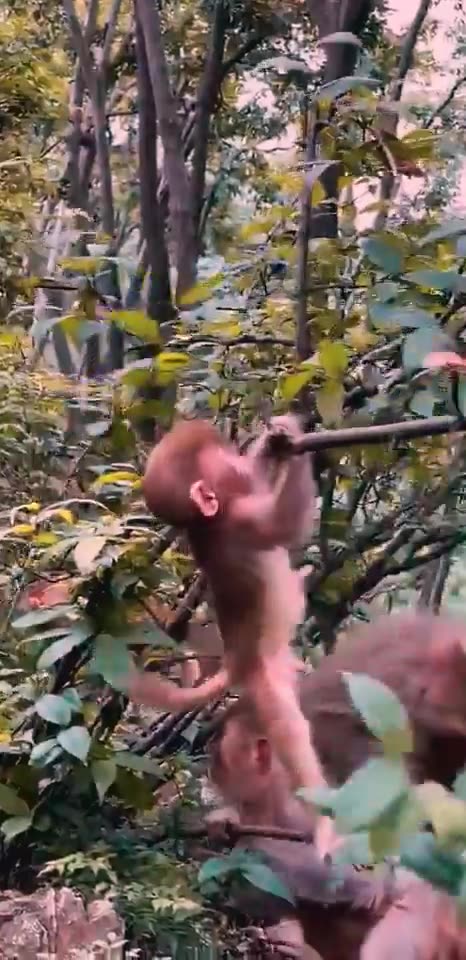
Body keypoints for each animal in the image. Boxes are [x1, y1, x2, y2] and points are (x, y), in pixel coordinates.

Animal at [125, 415, 338, 854]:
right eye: (223, 460)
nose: (236, 458)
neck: (204, 523)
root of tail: (237, 659)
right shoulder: (240, 517)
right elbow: (282, 525)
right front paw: (291, 440)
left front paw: (272, 443)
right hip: (262, 677)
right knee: (286, 728)